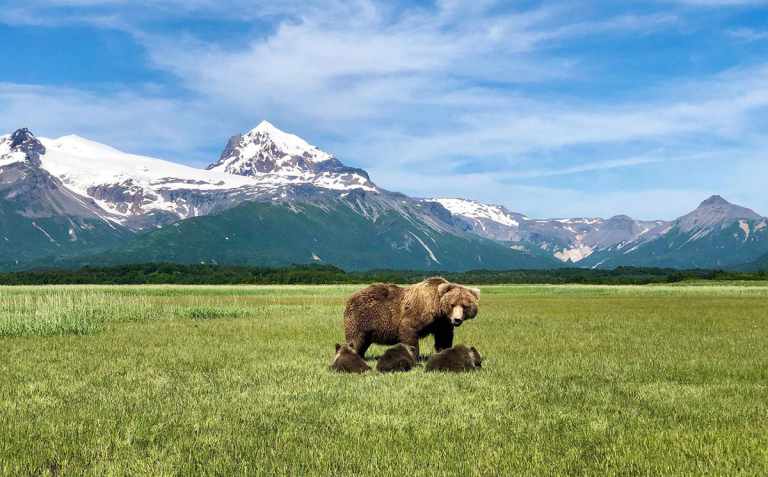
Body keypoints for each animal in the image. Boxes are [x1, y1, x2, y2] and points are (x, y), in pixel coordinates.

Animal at [343, 276, 480, 359]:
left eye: (465, 306)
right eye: (452, 304)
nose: (457, 320)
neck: (436, 308)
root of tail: (350, 298)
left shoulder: (441, 323)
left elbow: (444, 338)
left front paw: (444, 352)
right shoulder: (419, 313)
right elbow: (409, 330)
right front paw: (414, 356)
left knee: (363, 342)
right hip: (361, 318)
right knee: (355, 340)